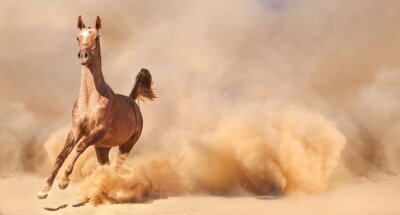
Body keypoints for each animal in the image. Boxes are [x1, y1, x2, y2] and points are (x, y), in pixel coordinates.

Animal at [36, 15, 155, 199]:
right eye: (78, 37)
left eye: (97, 37)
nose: (83, 56)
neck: (89, 100)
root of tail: (132, 101)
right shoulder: (76, 130)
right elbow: (61, 155)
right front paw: (44, 190)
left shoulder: (98, 131)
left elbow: (79, 147)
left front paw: (64, 182)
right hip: (102, 148)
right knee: (106, 166)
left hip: (126, 146)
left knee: (117, 167)